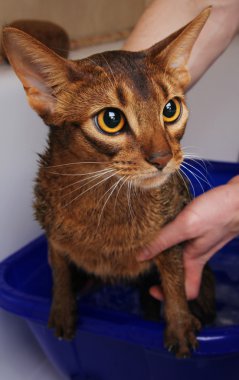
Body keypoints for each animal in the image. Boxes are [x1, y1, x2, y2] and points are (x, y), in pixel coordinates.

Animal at [1, 7, 215, 358]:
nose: (162, 158)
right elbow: (59, 272)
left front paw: (180, 324)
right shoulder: (52, 235)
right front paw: (62, 311)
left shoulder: (170, 236)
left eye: (171, 109)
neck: (103, 198)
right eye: (111, 119)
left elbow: (174, 280)